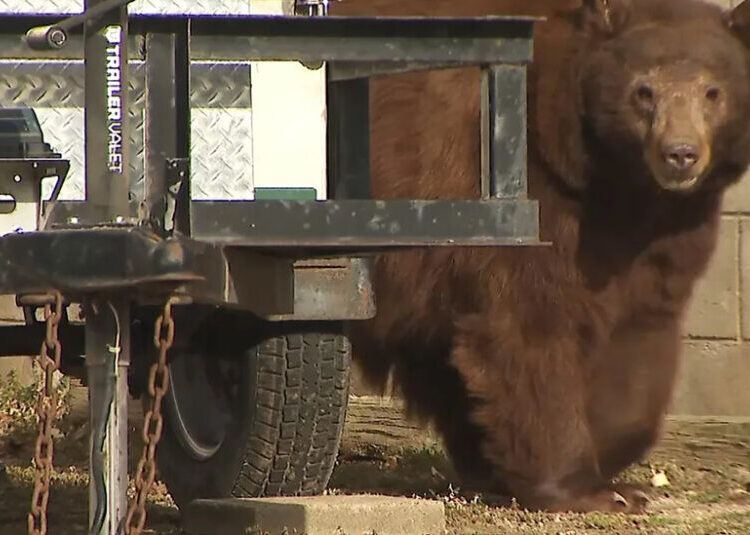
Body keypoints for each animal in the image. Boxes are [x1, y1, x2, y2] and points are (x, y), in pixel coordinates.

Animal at [332, 0, 750, 513]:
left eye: (713, 91)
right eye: (644, 90)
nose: (680, 153)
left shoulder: (659, 235)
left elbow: (638, 332)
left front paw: (615, 465)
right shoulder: (521, 197)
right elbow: (531, 329)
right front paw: (584, 486)